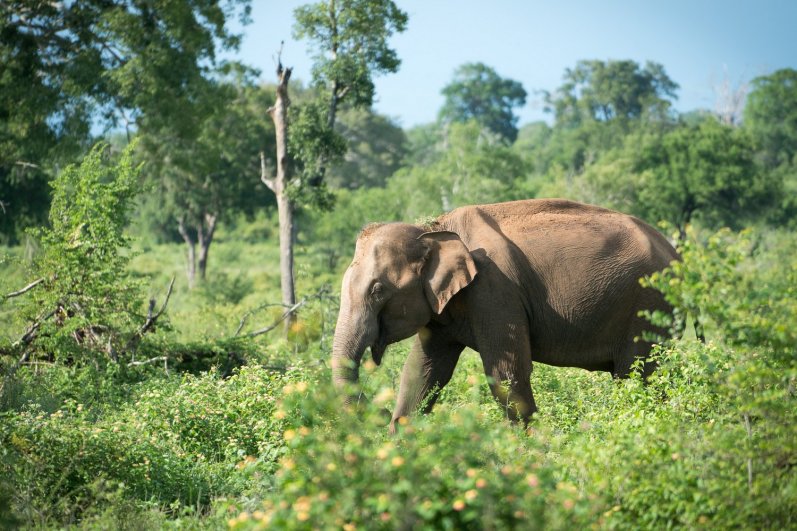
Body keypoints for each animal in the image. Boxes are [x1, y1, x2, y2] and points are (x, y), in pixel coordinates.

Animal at [331, 199, 679, 430]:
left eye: (377, 290)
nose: (377, 413)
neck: (434, 228)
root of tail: (673, 250)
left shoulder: (495, 289)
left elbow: (505, 373)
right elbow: (422, 371)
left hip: (648, 305)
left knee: (637, 375)